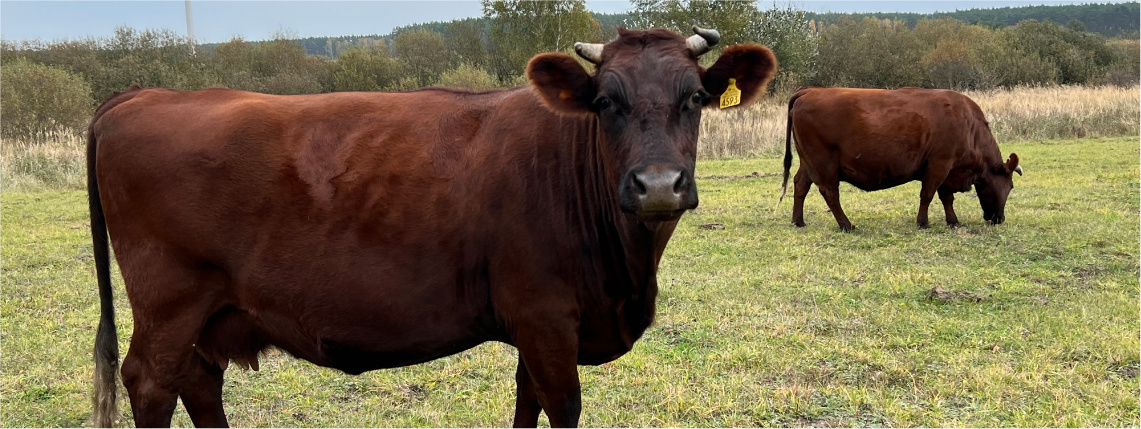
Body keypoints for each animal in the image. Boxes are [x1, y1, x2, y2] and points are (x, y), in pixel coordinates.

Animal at [88, 27, 775, 429]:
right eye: (605, 101)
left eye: (695, 98)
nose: (657, 185)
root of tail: (144, 94)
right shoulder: (546, 319)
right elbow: (560, 406)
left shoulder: (532, 329)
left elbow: (526, 402)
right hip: (170, 303)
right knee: (152, 382)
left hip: (209, 310)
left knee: (199, 383)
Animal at [780, 86, 1022, 231]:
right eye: (1010, 187)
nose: (999, 218)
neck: (969, 125)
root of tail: (810, 91)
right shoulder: (940, 163)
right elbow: (928, 194)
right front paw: (923, 222)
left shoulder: (948, 168)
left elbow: (946, 197)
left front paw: (953, 221)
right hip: (824, 163)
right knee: (830, 192)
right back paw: (847, 225)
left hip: (807, 162)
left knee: (800, 185)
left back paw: (798, 221)